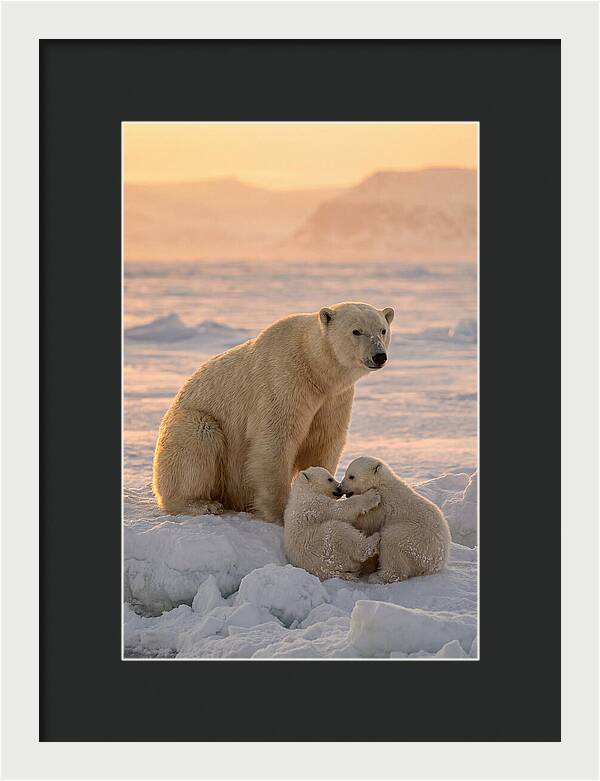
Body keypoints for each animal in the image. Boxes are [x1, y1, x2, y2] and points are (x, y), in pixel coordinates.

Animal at [152, 302, 394, 522]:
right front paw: (280, 512)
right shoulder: (283, 381)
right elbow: (275, 440)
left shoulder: (333, 398)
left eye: (382, 330)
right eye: (356, 331)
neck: (314, 369)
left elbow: (323, 440)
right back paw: (202, 504)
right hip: (192, 423)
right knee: (197, 439)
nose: (379, 356)